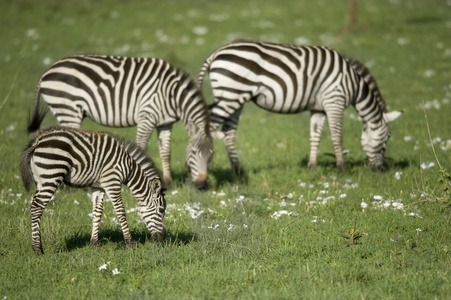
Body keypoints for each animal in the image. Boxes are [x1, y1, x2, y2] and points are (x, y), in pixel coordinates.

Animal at [19, 125, 168, 254]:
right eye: (161, 210)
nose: (164, 237)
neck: (128, 169)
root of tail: (38, 140)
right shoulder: (112, 182)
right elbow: (120, 211)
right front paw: (130, 242)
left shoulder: (98, 186)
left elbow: (97, 212)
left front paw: (94, 243)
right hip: (51, 175)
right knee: (37, 207)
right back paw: (37, 249)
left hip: (41, 180)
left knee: (34, 205)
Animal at [29, 55, 215, 189]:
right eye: (194, 153)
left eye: (211, 156)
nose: (201, 185)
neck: (171, 95)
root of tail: (47, 71)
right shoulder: (147, 116)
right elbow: (142, 147)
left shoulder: (165, 123)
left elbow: (166, 152)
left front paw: (168, 183)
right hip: (68, 109)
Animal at [198, 39, 402, 173]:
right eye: (388, 138)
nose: (380, 170)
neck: (355, 85)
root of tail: (216, 52)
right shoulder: (334, 101)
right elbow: (337, 136)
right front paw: (342, 168)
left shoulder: (318, 108)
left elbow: (315, 136)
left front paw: (312, 167)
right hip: (230, 95)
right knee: (206, 127)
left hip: (235, 97)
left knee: (228, 132)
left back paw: (237, 171)